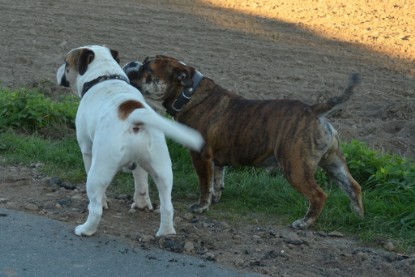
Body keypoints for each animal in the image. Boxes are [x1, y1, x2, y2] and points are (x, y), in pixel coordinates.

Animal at [55, 45, 205, 235]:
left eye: (66, 63)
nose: (59, 68)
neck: (105, 76)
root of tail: (135, 115)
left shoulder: (87, 149)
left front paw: (104, 202)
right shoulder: (140, 165)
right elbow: (140, 182)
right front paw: (141, 204)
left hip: (100, 170)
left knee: (95, 208)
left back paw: (85, 229)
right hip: (162, 169)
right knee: (167, 206)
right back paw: (166, 232)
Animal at [123, 56, 364, 229]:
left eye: (147, 69)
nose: (132, 63)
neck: (188, 93)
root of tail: (314, 111)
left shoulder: (200, 156)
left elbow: (204, 184)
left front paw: (201, 207)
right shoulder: (216, 160)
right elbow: (217, 180)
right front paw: (215, 198)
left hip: (295, 168)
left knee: (319, 195)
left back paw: (305, 222)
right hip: (333, 162)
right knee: (353, 186)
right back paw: (358, 216)